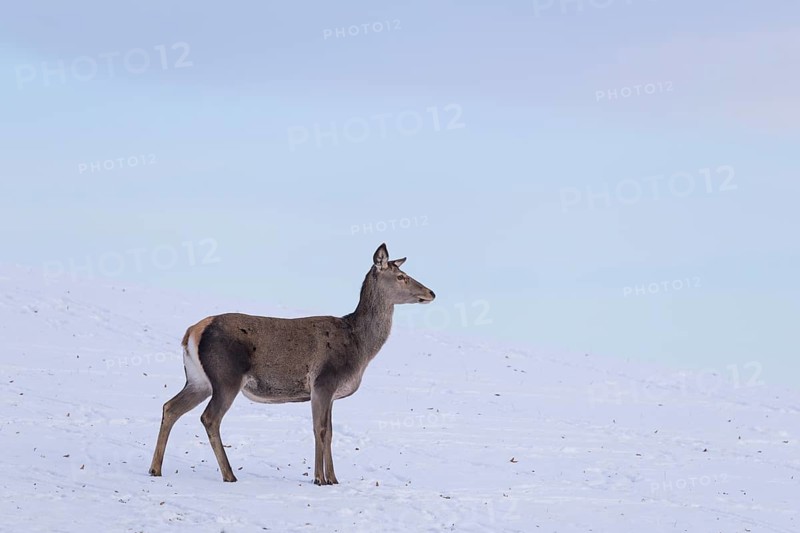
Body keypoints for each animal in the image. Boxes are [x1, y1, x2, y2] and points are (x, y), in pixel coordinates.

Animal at [148, 243, 435, 485]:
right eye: (401, 276)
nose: (431, 292)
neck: (359, 347)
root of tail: (192, 332)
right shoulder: (323, 382)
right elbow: (320, 429)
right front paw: (320, 479)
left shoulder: (330, 392)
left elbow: (330, 432)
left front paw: (334, 479)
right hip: (225, 376)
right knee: (209, 417)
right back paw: (229, 474)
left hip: (198, 380)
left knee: (170, 407)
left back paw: (155, 468)